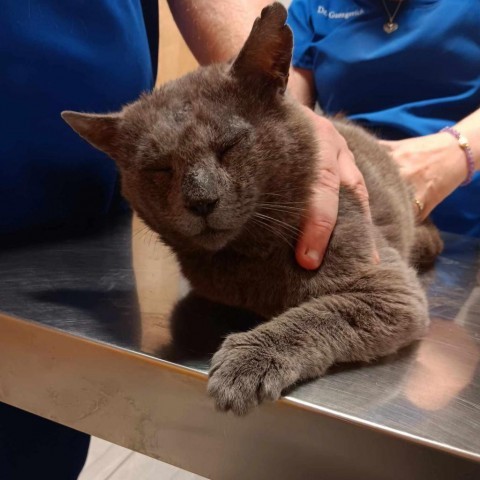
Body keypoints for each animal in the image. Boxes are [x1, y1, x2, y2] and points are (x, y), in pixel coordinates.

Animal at [62, 2, 442, 416]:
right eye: (160, 168)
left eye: (229, 146)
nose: (201, 200)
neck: (247, 259)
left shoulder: (392, 291)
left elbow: (322, 313)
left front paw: (250, 360)